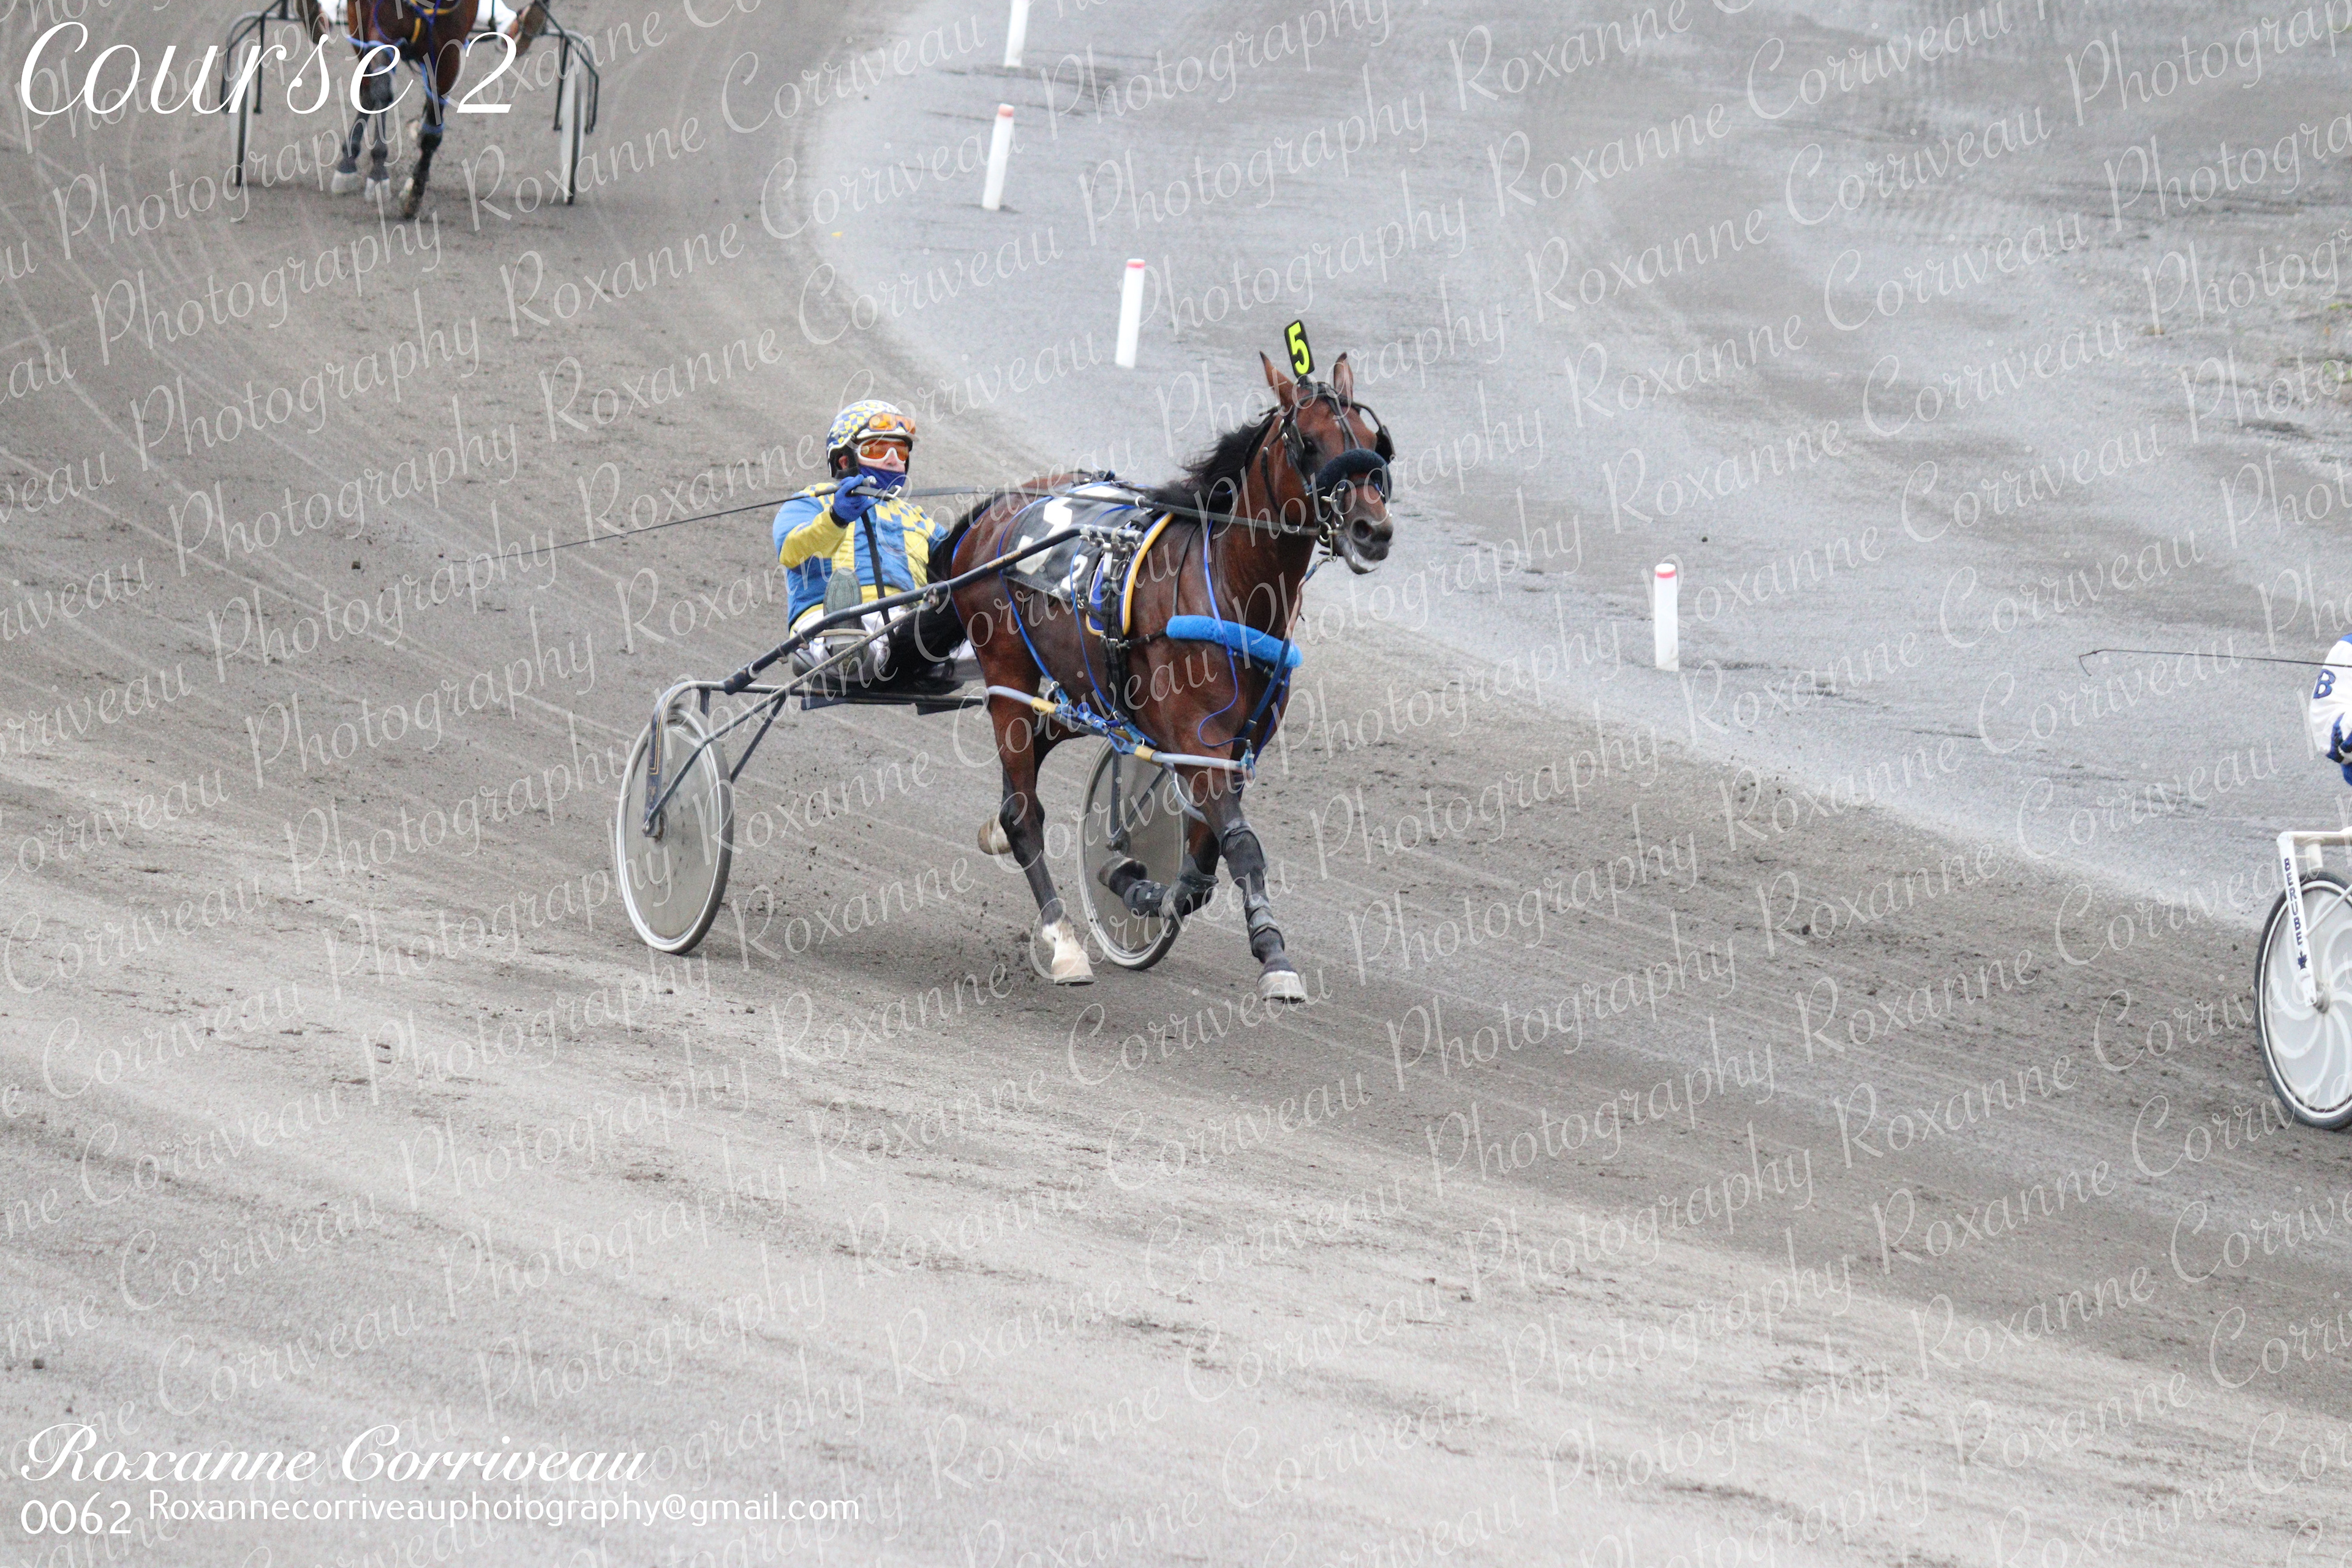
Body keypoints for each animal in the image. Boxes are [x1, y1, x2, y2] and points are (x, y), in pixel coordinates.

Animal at [321, 0, 548, 218]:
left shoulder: (448, 53)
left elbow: (433, 124)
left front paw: (414, 193)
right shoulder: (382, 31)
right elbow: (382, 91)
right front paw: (378, 173)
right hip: (358, 24)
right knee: (369, 91)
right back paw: (348, 162)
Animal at [949, 348, 1395, 1002]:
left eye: (1370, 441)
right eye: (1309, 443)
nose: (1373, 529)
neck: (1234, 591)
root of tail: (997, 511)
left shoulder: (1233, 748)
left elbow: (1202, 868)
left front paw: (1138, 883)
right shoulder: (1196, 741)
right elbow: (1242, 845)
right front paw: (1274, 954)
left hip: (1091, 694)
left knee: (1029, 764)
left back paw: (1002, 831)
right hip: (1009, 671)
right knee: (1024, 811)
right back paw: (1062, 941)